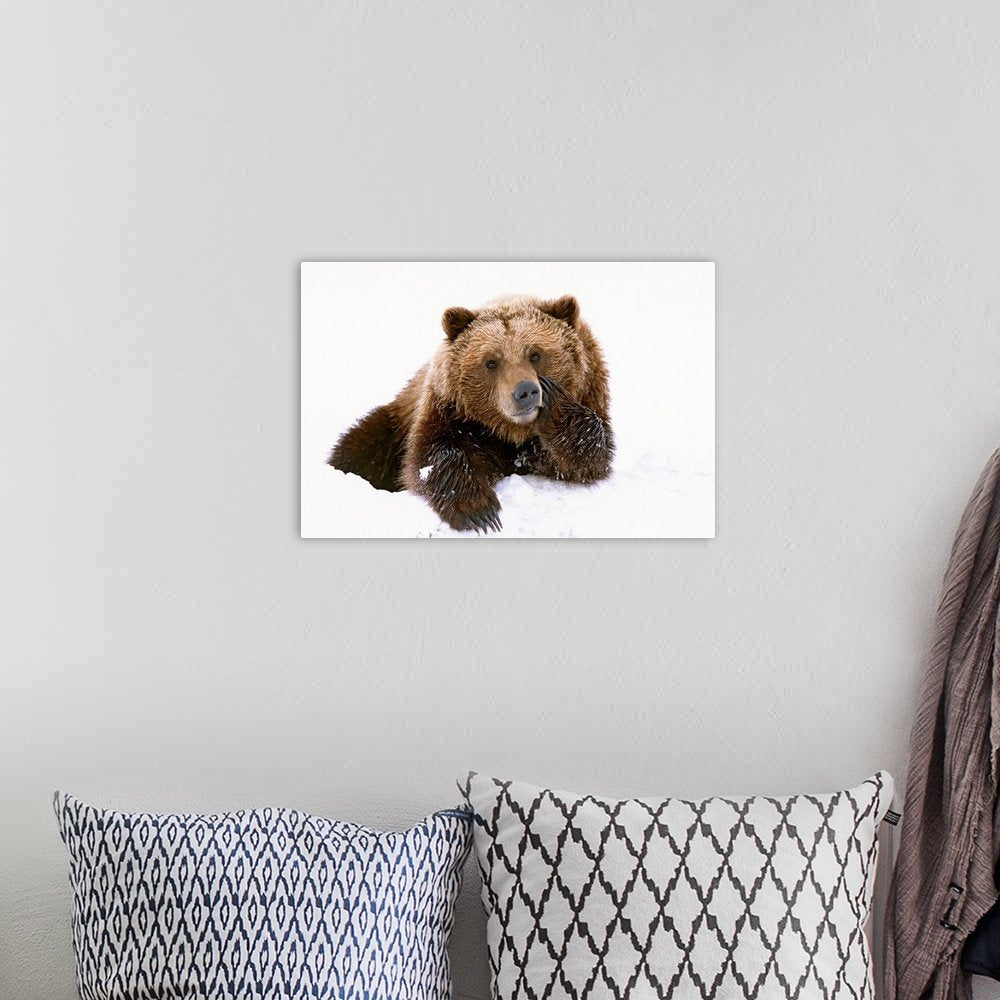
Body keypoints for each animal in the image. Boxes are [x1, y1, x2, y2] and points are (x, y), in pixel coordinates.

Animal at [327, 294, 613, 532]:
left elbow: (587, 458)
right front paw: (478, 511)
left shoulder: (591, 392)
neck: (510, 433)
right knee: (358, 449)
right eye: (491, 362)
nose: (526, 391)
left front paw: (555, 405)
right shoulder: (450, 412)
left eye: (535, 354)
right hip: (392, 426)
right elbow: (432, 456)